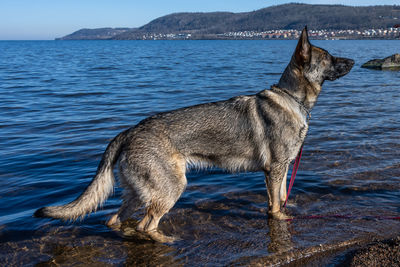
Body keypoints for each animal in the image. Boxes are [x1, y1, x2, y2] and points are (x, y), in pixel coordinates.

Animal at [34, 27, 354, 243]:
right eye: (329, 57)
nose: (353, 61)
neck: (292, 98)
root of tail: (130, 130)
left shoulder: (280, 170)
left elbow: (281, 198)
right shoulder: (275, 170)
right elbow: (275, 205)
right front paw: (280, 219)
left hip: (139, 193)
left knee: (115, 220)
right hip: (171, 188)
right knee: (145, 225)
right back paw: (166, 241)